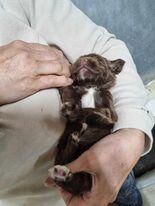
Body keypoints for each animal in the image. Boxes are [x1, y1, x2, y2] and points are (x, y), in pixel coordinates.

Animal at [44, 52, 124, 195]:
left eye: (99, 60)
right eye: (78, 59)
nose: (83, 60)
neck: (89, 86)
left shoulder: (111, 113)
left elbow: (91, 110)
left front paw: (75, 112)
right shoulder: (70, 94)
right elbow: (69, 91)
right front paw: (72, 109)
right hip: (62, 156)